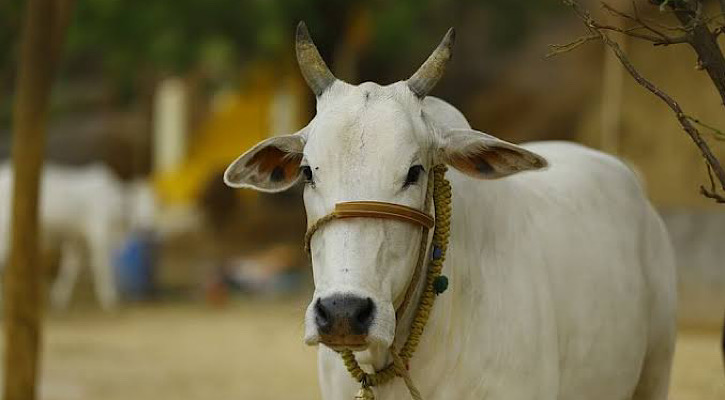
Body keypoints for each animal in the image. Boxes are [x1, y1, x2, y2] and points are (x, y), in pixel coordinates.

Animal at [0, 162, 134, 310]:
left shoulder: (76, 239)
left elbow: (70, 267)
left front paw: (59, 298)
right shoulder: (98, 234)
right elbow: (102, 267)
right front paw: (109, 299)